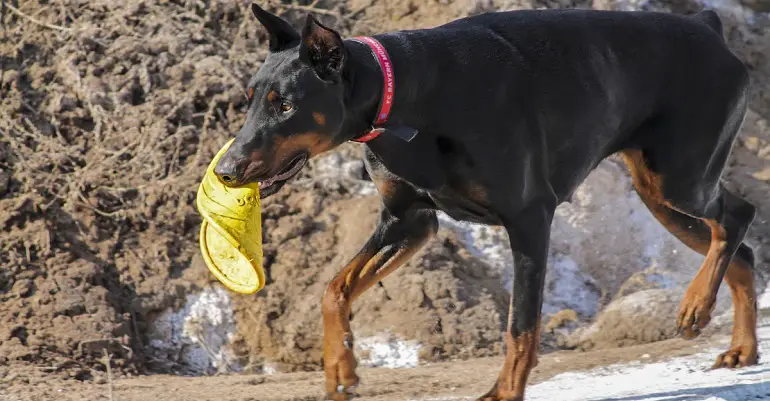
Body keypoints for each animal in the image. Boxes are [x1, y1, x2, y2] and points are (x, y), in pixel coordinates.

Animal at [214, 3, 756, 400]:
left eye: (286, 105)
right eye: (250, 99)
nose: (226, 170)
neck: (405, 99)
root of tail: (710, 29)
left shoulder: (530, 218)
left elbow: (521, 326)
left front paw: (504, 392)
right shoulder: (409, 221)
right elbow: (334, 290)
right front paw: (340, 370)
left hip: (679, 180)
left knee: (737, 216)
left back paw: (695, 306)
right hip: (658, 192)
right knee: (742, 249)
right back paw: (742, 349)